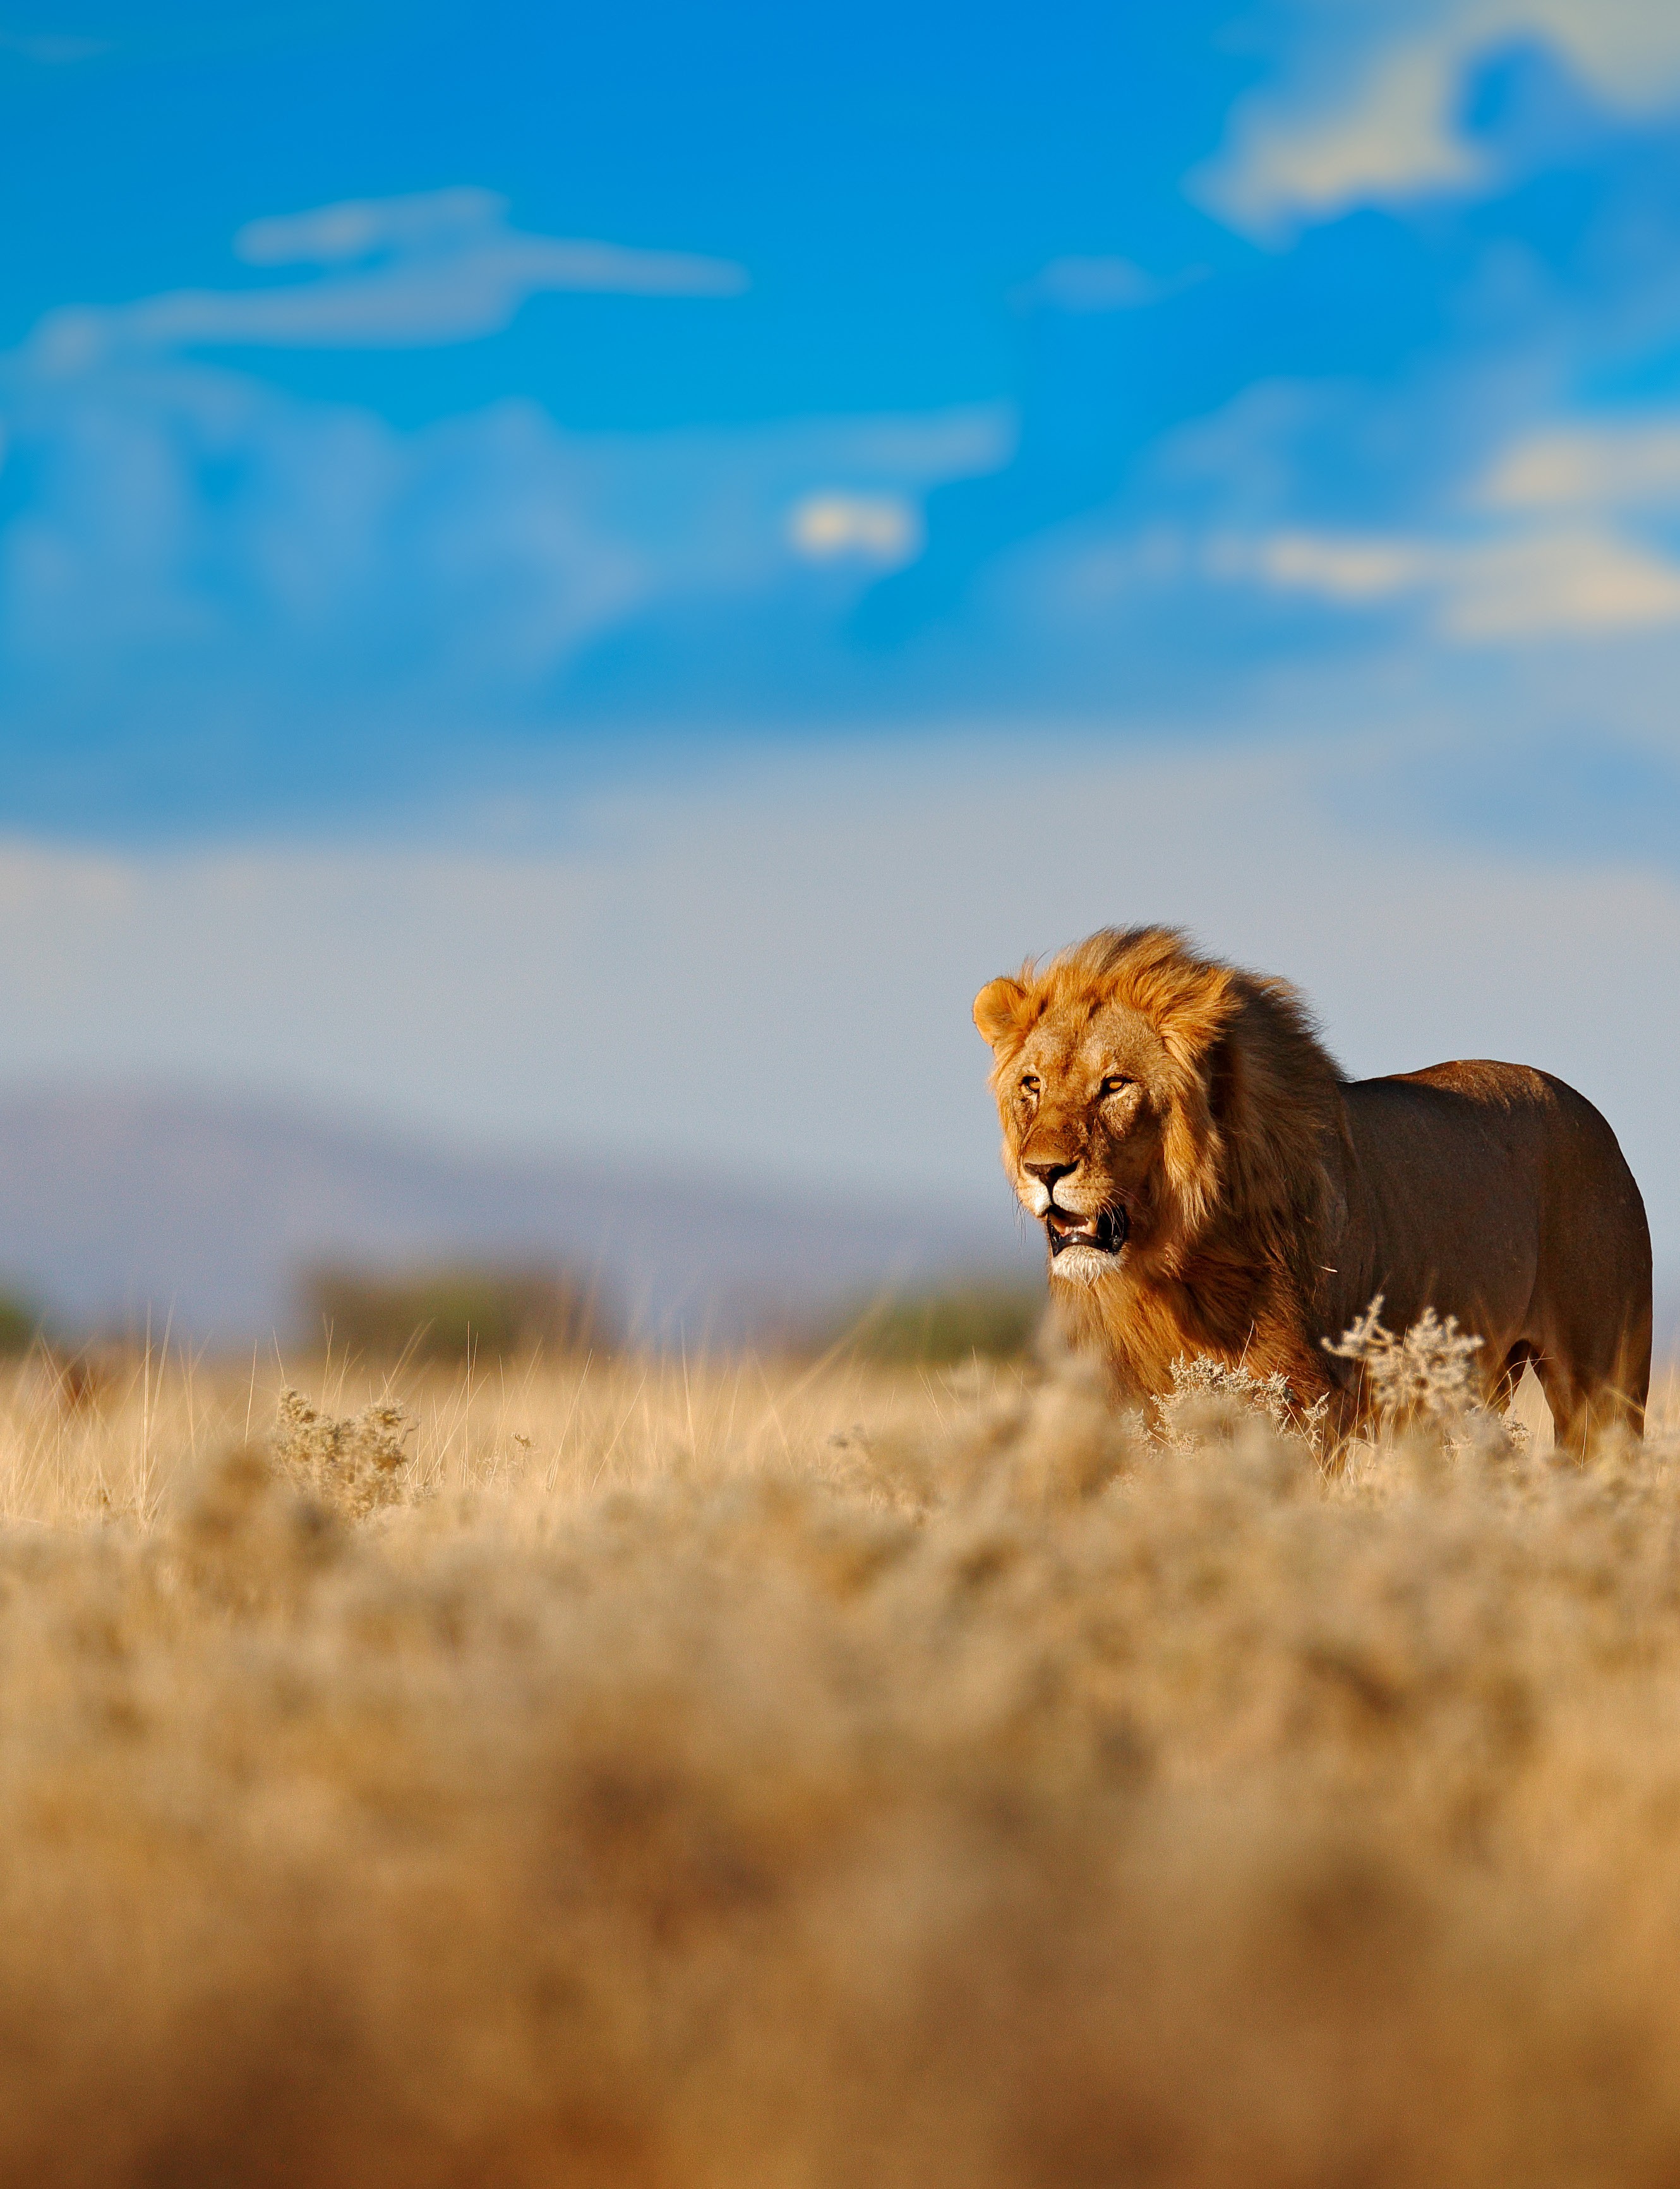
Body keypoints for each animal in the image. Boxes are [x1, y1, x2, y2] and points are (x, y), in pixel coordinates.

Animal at [974, 926, 1651, 1453]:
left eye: (1115, 1084)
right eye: (1032, 1084)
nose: (1045, 1171)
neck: (1167, 1265)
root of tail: (1591, 1115)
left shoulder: (1304, 1400)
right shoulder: (1123, 1400)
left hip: (1605, 1385)